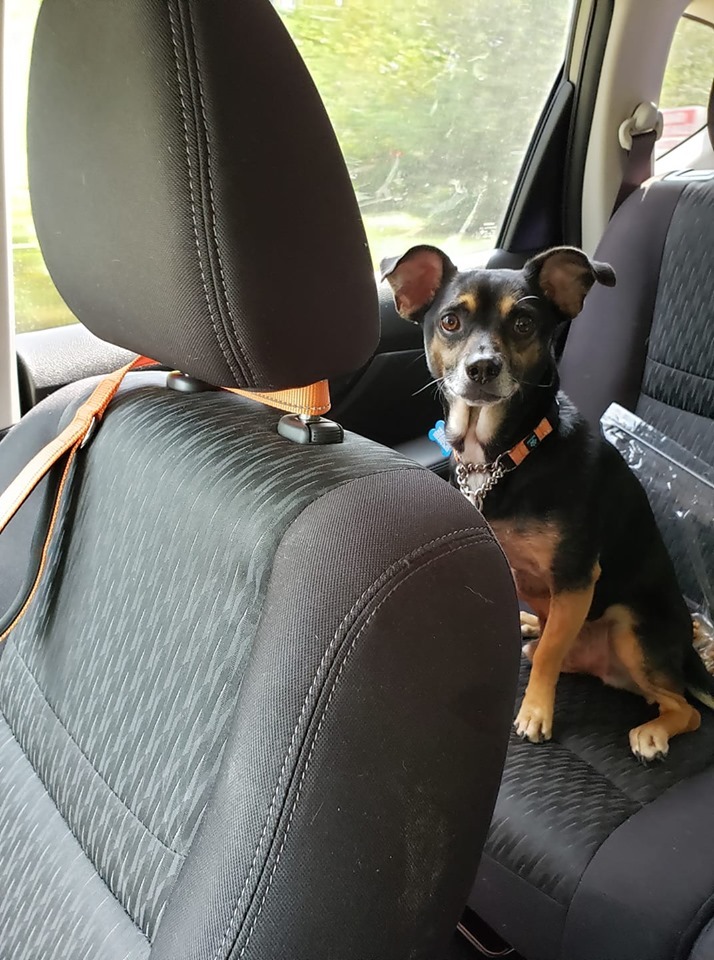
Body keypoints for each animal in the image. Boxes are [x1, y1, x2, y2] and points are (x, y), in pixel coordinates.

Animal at [384, 244, 712, 760]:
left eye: (523, 324)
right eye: (451, 322)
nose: (482, 368)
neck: (507, 454)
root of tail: (687, 651)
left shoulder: (577, 578)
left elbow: (551, 657)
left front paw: (535, 712)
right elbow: (547, 641)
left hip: (630, 625)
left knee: (685, 707)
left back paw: (654, 732)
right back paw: (528, 627)